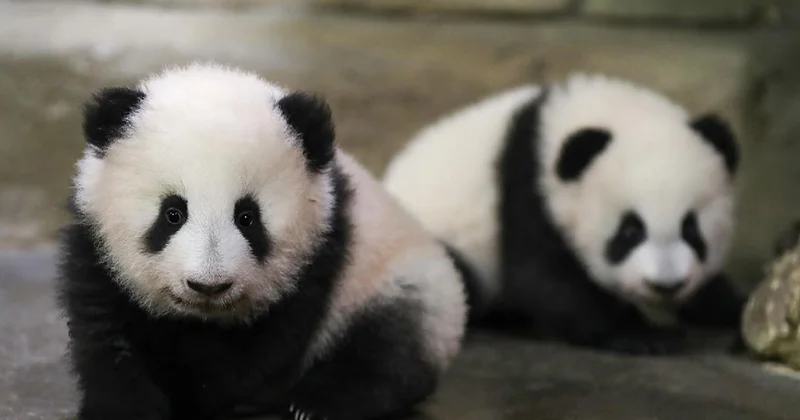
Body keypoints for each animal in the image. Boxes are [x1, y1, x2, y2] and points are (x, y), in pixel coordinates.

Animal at [56, 63, 467, 420]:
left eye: (247, 217)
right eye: (173, 213)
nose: (208, 285)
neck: (201, 318)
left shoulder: (319, 257)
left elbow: (262, 353)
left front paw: (203, 392)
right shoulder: (96, 249)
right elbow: (106, 334)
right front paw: (127, 405)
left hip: (394, 281)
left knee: (386, 346)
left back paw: (320, 403)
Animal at [382, 73, 744, 355]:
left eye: (692, 229)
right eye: (630, 232)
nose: (666, 284)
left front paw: (729, 308)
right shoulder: (527, 189)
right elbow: (546, 279)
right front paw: (645, 335)